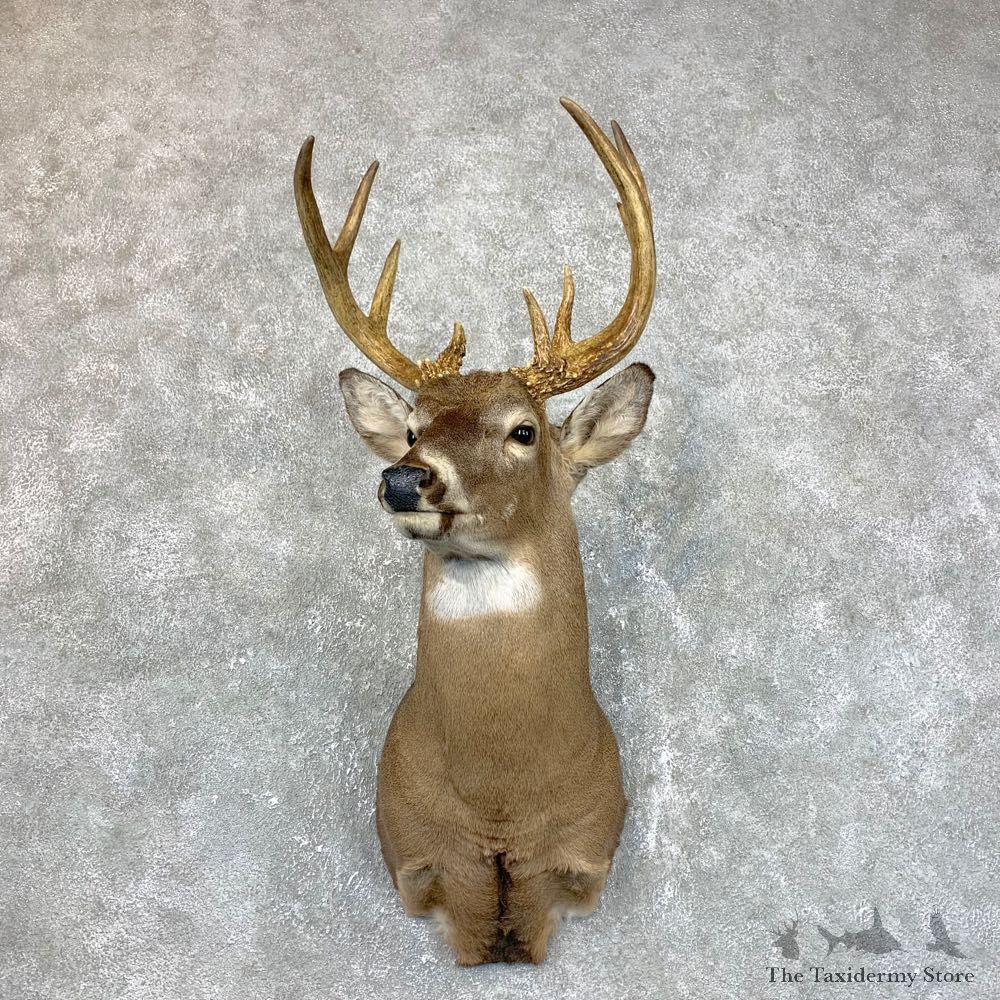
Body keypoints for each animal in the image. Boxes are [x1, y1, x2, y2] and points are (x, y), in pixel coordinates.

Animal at [294, 97, 656, 966]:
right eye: (413, 428)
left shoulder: (585, 850)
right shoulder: (416, 852)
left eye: (523, 431)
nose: (403, 479)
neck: (501, 796)